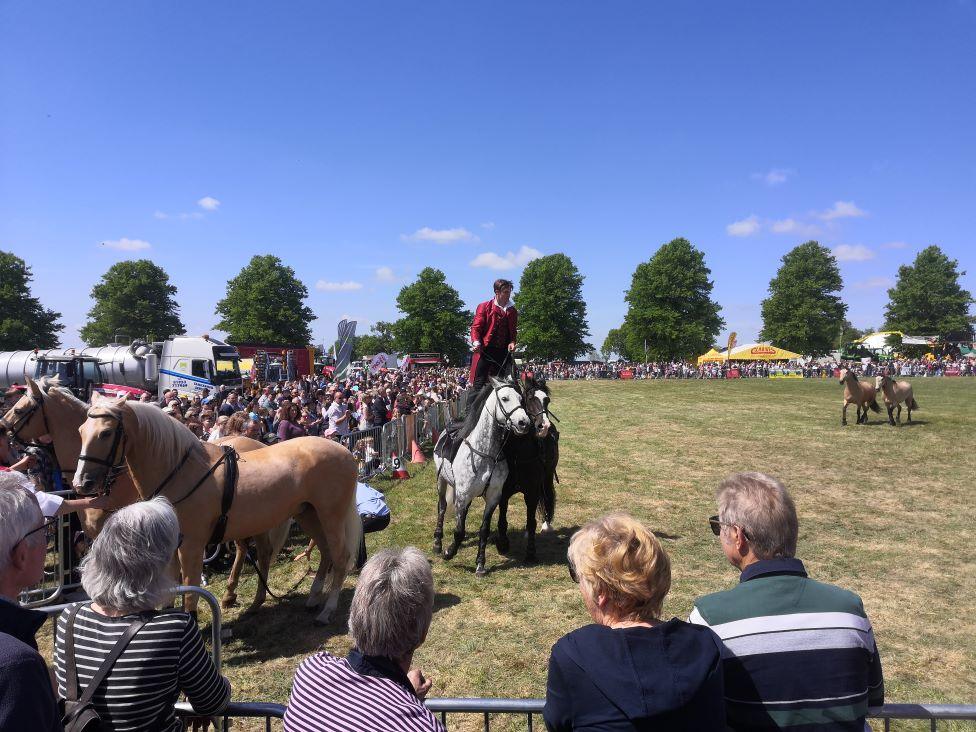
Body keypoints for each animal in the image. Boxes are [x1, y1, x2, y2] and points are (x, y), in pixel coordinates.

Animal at [74, 394, 360, 624]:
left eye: (106, 433)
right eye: (80, 430)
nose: (81, 483)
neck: (182, 471)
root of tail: (345, 450)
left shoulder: (192, 546)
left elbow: (190, 591)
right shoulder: (171, 547)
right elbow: (170, 592)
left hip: (331, 516)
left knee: (340, 556)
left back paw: (327, 610)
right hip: (307, 513)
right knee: (324, 551)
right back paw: (312, 598)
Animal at [496, 374, 556, 564]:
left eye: (547, 400)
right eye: (528, 399)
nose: (544, 427)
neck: (518, 454)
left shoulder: (532, 491)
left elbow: (531, 521)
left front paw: (531, 552)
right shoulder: (503, 491)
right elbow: (502, 518)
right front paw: (503, 544)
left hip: (547, 477)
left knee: (547, 497)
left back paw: (546, 525)